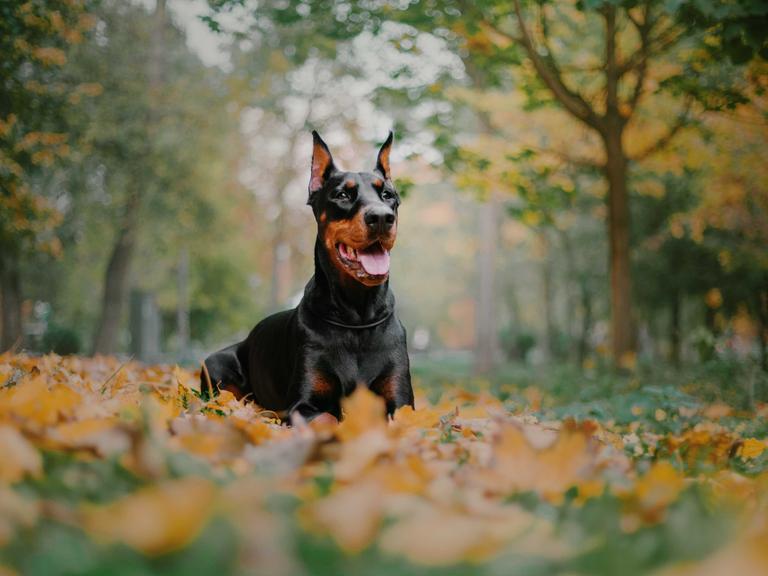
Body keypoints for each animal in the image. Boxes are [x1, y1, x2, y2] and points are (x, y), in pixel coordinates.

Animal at [200, 130, 414, 424]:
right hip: (214, 364)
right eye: (342, 194)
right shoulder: (302, 403)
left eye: (387, 194)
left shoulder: (402, 401)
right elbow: (327, 419)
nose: (382, 217)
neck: (357, 318)